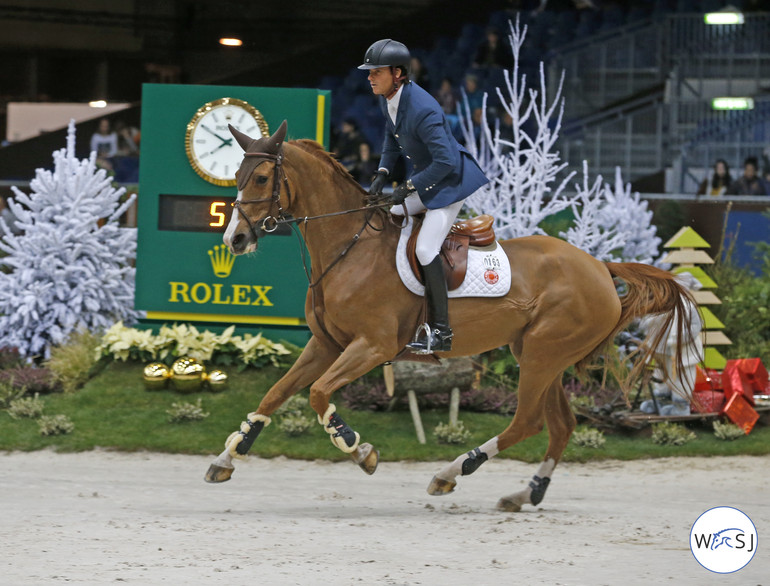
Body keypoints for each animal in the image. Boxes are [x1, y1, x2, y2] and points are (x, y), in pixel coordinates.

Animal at [206, 121, 688, 508]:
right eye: (236, 176)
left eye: (262, 177)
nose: (235, 240)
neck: (349, 247)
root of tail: (601, 267)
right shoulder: (326, 344)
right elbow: (274, 395)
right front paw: (227, 458)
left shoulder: (371, 346)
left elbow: (319, 394)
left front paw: (358, 448)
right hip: (539, 354)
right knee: (561, 424)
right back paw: (524, 494)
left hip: (543, 354)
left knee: (528, 421)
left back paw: (451, 472)